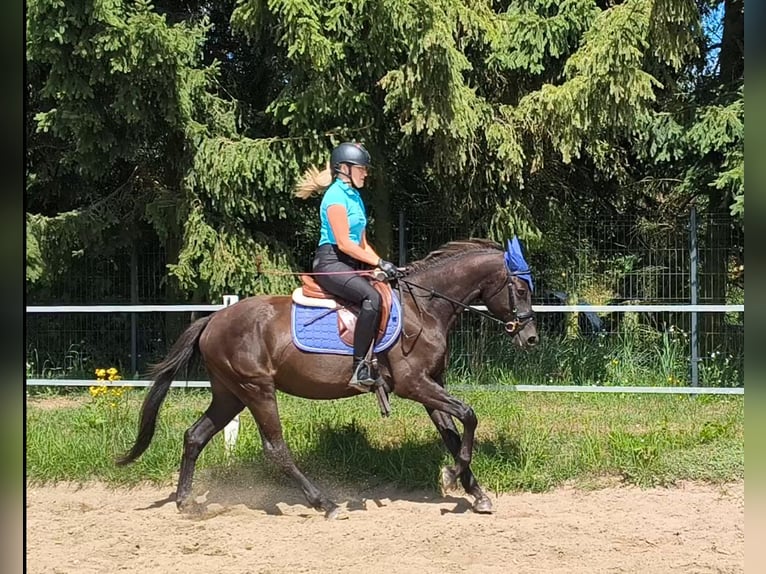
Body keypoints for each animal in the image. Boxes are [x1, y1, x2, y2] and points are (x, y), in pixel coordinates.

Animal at [117, 238, 539, 518]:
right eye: (519, 288)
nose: (531, 337)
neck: (424, 308)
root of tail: (213, 319)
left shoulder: (431, 385)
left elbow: (452, 433)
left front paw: (472, 490)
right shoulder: (415, 385)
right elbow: (468, 415)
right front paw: (454, 477)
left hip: (229, 394)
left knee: (195, 436)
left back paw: (186, 502)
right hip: (256, 390)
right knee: (275, 448)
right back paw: (325, 503)